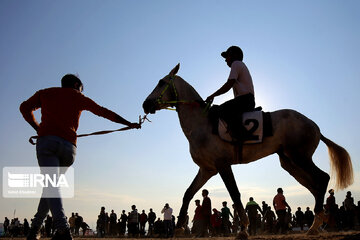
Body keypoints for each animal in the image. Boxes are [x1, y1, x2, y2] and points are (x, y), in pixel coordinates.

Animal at [142, 63, 352, 238]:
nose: (145, 104)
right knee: (314, 186)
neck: (201, 123)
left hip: (300, 158)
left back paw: (316, 225)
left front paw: (243, 228)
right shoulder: (207, 169)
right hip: (290, 163)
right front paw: (178, 228)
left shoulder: (222, 165)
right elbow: (188, 193)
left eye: (161, 83)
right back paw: (317, 224)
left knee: (322, 178)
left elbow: (235, 194)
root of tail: (314, 125)